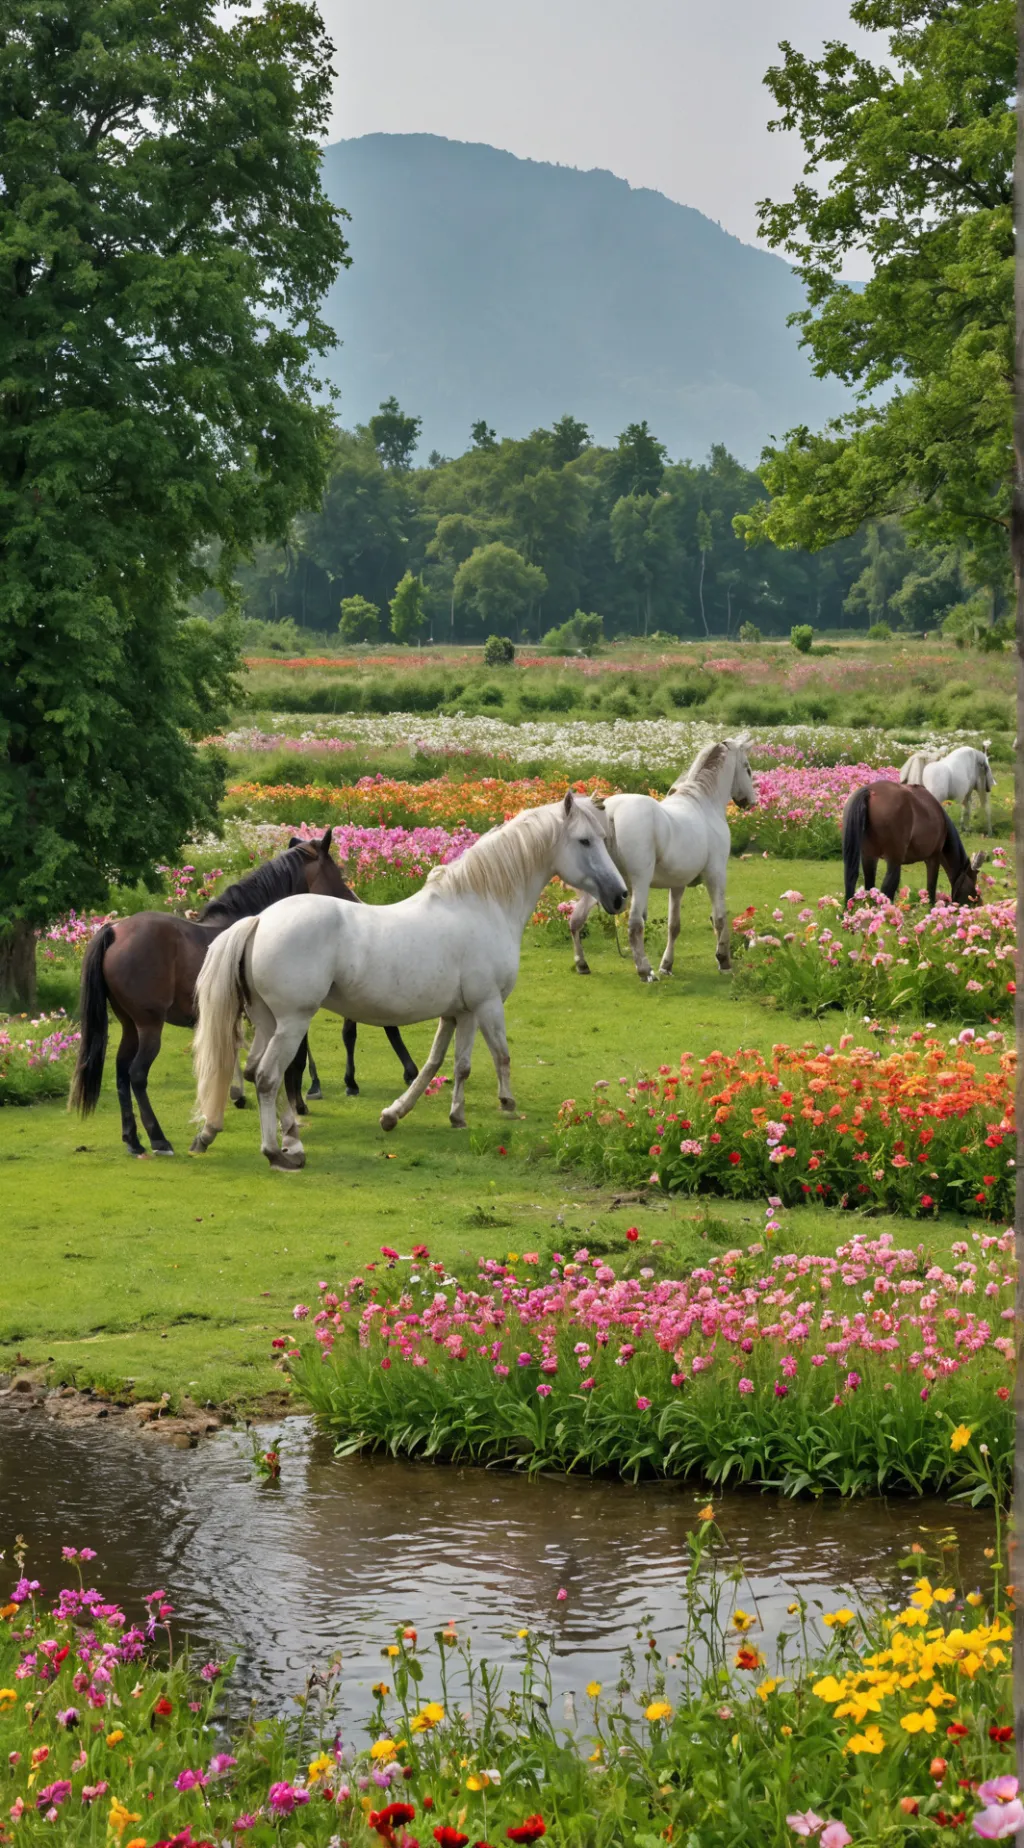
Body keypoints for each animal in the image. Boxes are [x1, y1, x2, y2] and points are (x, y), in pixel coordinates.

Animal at [69, 831, 418, 1157]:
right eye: (338, 871)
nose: (355, 903)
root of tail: (114, 930)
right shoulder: (288, 1016)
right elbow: (293, 1063)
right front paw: (295, 1108)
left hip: (130, 1024)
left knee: (121, 1073)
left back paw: (133, 1139)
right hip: (149, 1025)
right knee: (137, 1074)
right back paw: (158, 1138)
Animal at [190, 791, 628, 1171]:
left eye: (603, 838)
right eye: (585, 841)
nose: (620, 896)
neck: (481, 906)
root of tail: (259, 920)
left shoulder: (458, 1013)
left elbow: (442, 1064)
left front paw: (409, 1115)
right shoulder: (486, 1005)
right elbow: (498, 1055)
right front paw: (505, 1103)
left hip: (268, 1023)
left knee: (260, 1073)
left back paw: (287, 1139)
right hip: (293, 1023)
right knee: (267, 1077)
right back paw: (276, 1151)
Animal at [568, 737, 757, 983]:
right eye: (747, 768)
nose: (750, 802)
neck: (703, 802)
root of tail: (610, 812)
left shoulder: (677, 885)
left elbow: (673, 926)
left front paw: (667, 965)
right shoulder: (715, 874)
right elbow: (720, 917)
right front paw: (723, 960)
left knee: (575, 921)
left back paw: (582, 964)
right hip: (639, 882)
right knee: (635, 924)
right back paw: (645, 971)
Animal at [842, 782, 986, 908]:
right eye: (973, 881)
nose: (978, 903)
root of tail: (870, 791)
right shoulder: (934, 857)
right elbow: (931, 888)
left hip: (869, 856)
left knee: (863, 884)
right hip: (894, 859)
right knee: (888, 887)